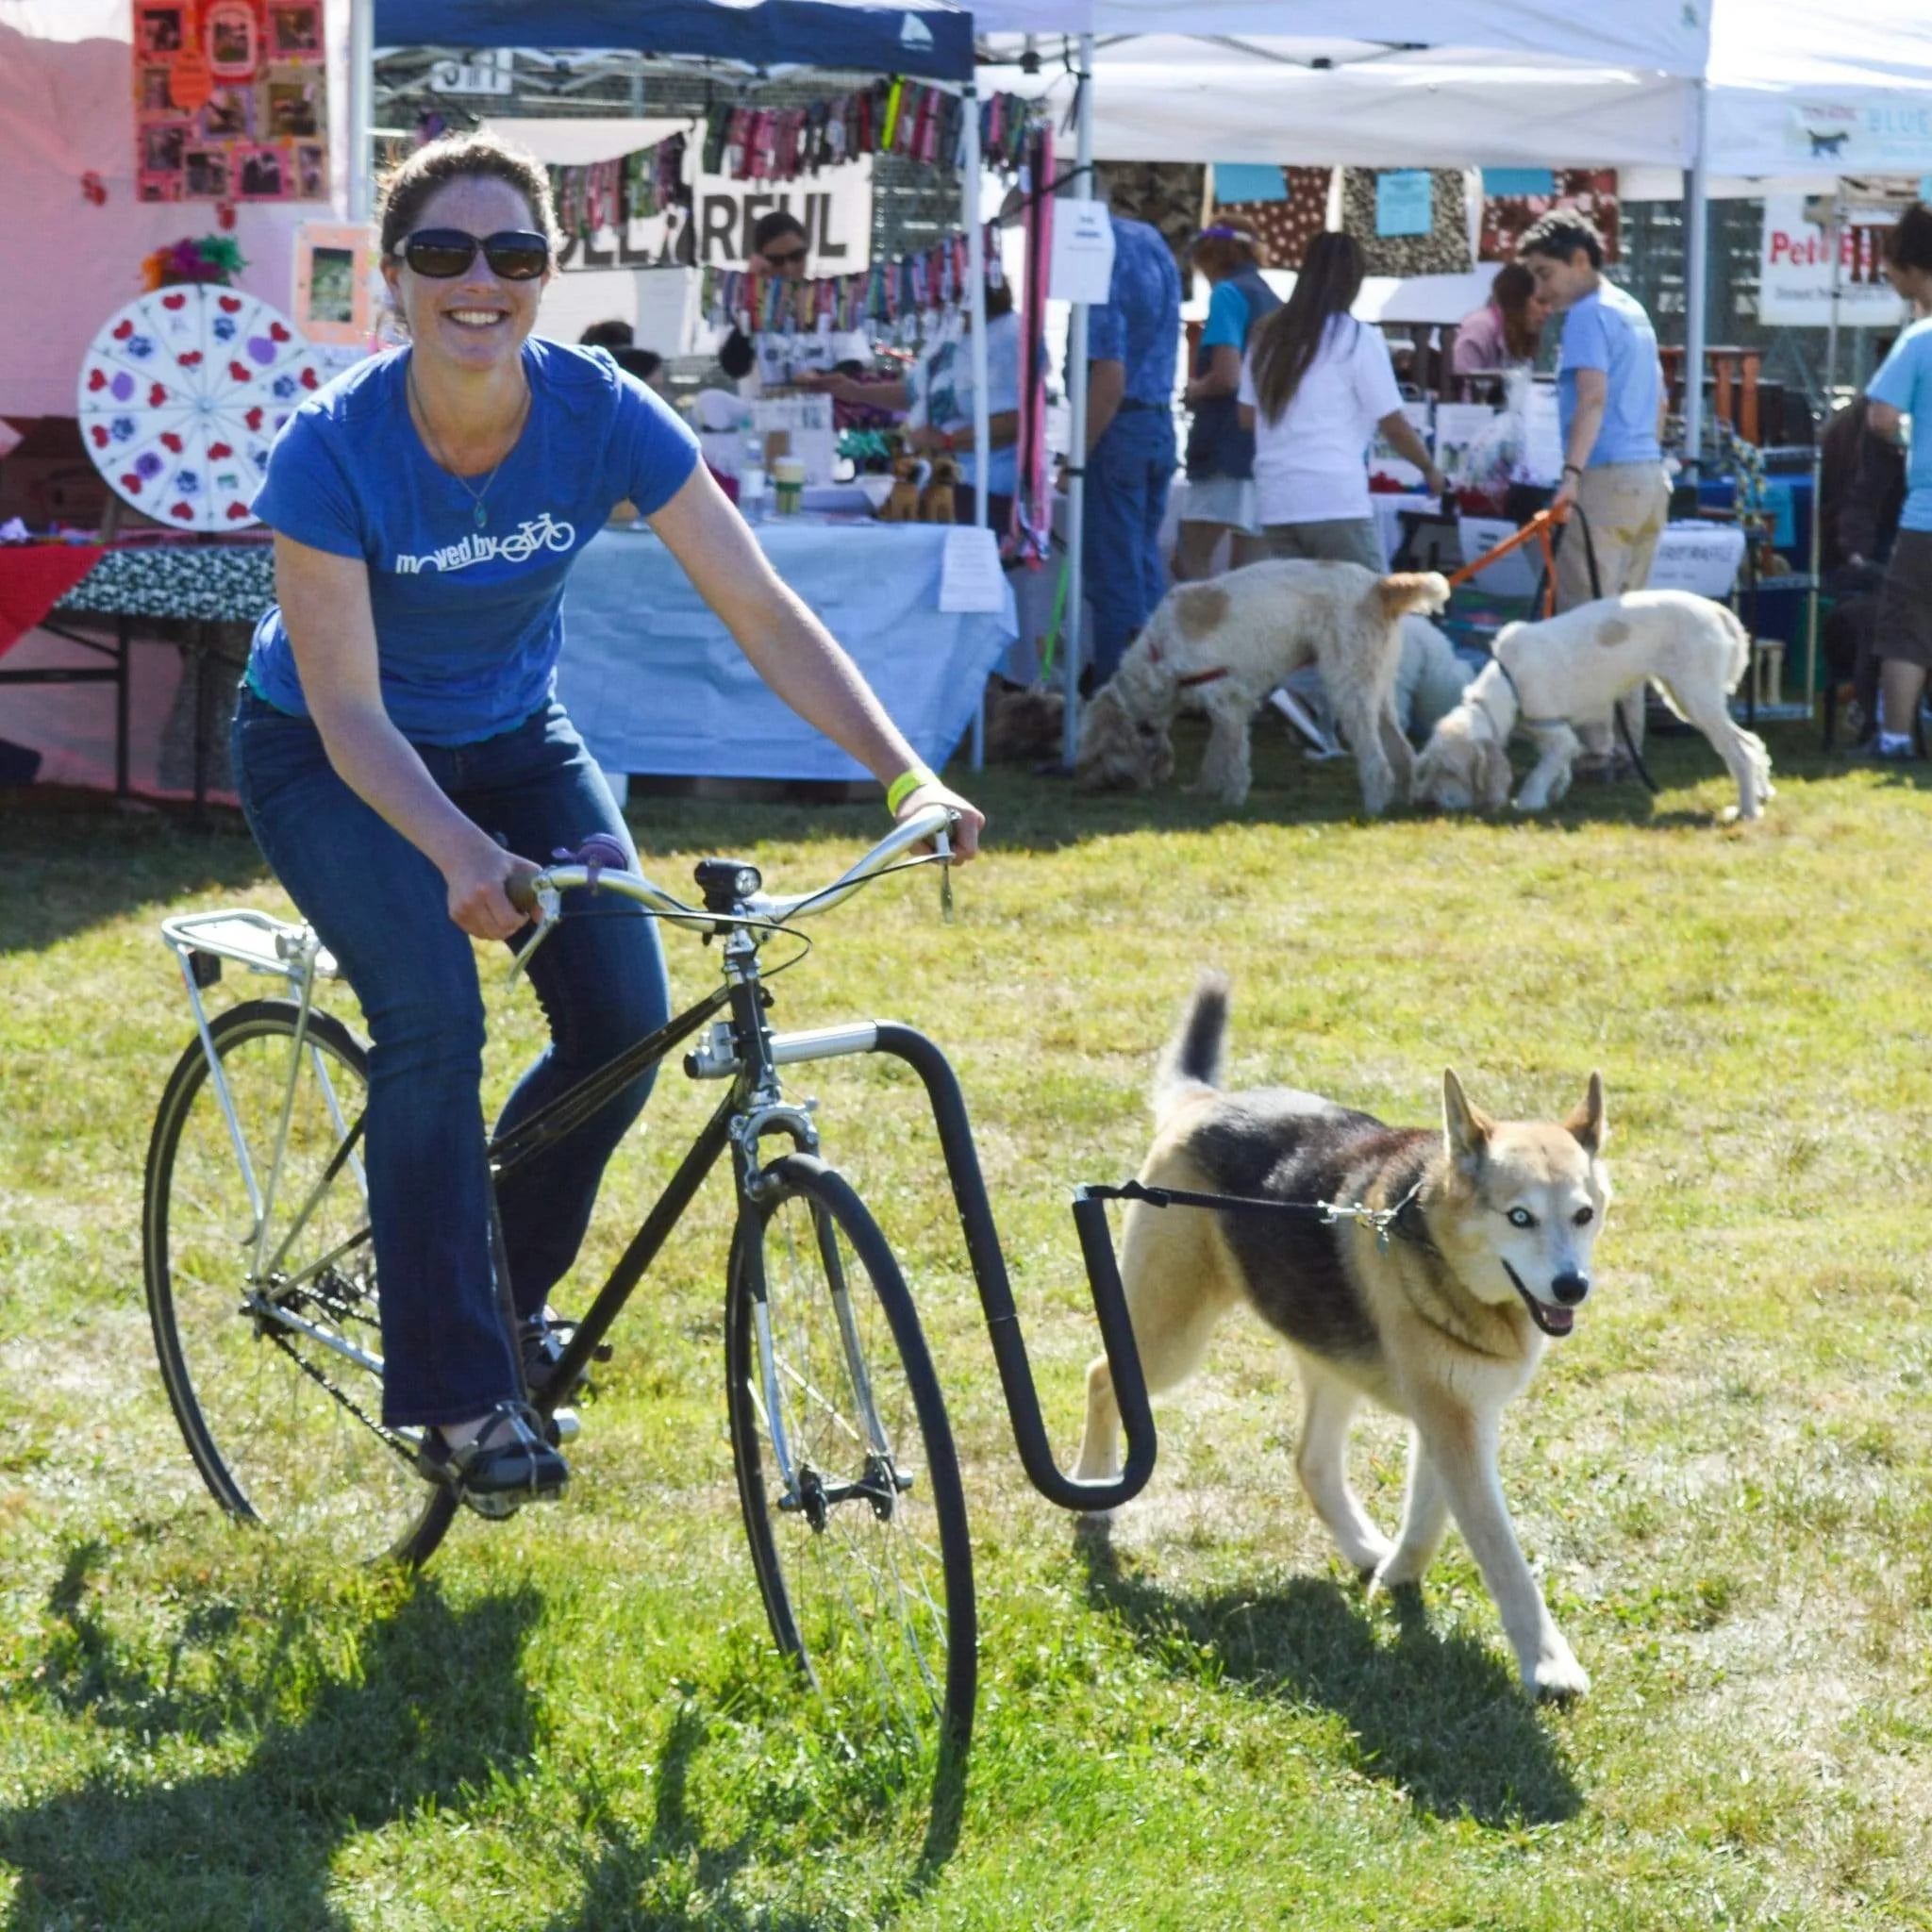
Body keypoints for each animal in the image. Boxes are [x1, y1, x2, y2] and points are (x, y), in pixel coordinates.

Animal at [1074, 564, 1453, 823]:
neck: (1158, 653)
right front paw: (1203, 791)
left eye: (1096, 750)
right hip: (1379, 692)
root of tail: (1378, 585)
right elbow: (1216, 754)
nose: (1092, 784)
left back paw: (1372, 807)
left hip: (1350, 692)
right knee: (1404, 753)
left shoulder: (1228, 703)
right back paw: (1401, 802)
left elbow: (1234, 760)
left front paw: (1231, 801)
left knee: (1377, 762)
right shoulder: (1228, 710)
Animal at [1081, 974, 1607, 1700]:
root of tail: (1206, 1103)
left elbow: (1429, 1517)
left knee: (1311, 1461)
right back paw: (1094, 1498)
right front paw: (1549, 1664)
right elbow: (1502, 1554)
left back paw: (1362, 1549)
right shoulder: (1452, 1422)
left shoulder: (1456, 1415)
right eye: (1520, 1216)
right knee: (1103, 1377)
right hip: (1170, 1336)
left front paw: (1396, 1575)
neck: (1433, 1242)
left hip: (1327, 1360)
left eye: (1583, 1215)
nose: (1570, 1287)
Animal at [1414, 583, 1769, 819]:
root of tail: (1717, 610)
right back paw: (1762, 793)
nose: (1428, 804)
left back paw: (1746, 811)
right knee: (1749, 741)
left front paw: (1529, 802)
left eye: (1450, 770)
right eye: (1428, 768)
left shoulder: (1555, 733)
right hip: (1690, 699)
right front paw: (1555, 791)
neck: (1509, 682)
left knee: (1738, 753)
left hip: (1695, 697)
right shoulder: (1553, 734)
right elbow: (1556, 766)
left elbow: (1539, 773)